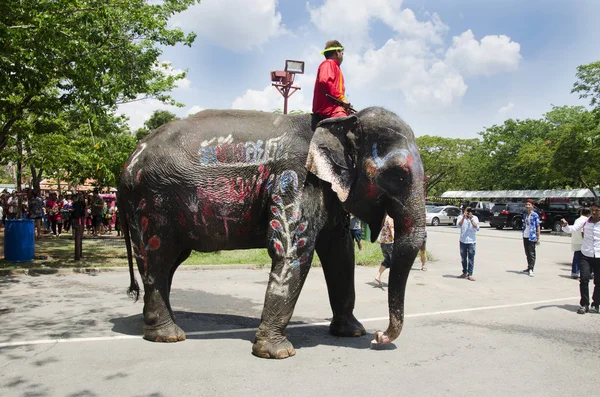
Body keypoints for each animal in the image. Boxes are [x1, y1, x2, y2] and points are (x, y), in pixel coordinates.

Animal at [118, 106, 426, 358]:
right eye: (398, 175)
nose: (379, 337)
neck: (340, 122)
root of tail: (127, 164)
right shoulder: (296, 179)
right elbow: (293, 251)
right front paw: (277, 353)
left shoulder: (327, 191)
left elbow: (340, 253)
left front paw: (352, 332)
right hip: (151, 204)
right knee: (157, 259)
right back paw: (168, 335)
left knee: (168, 262)